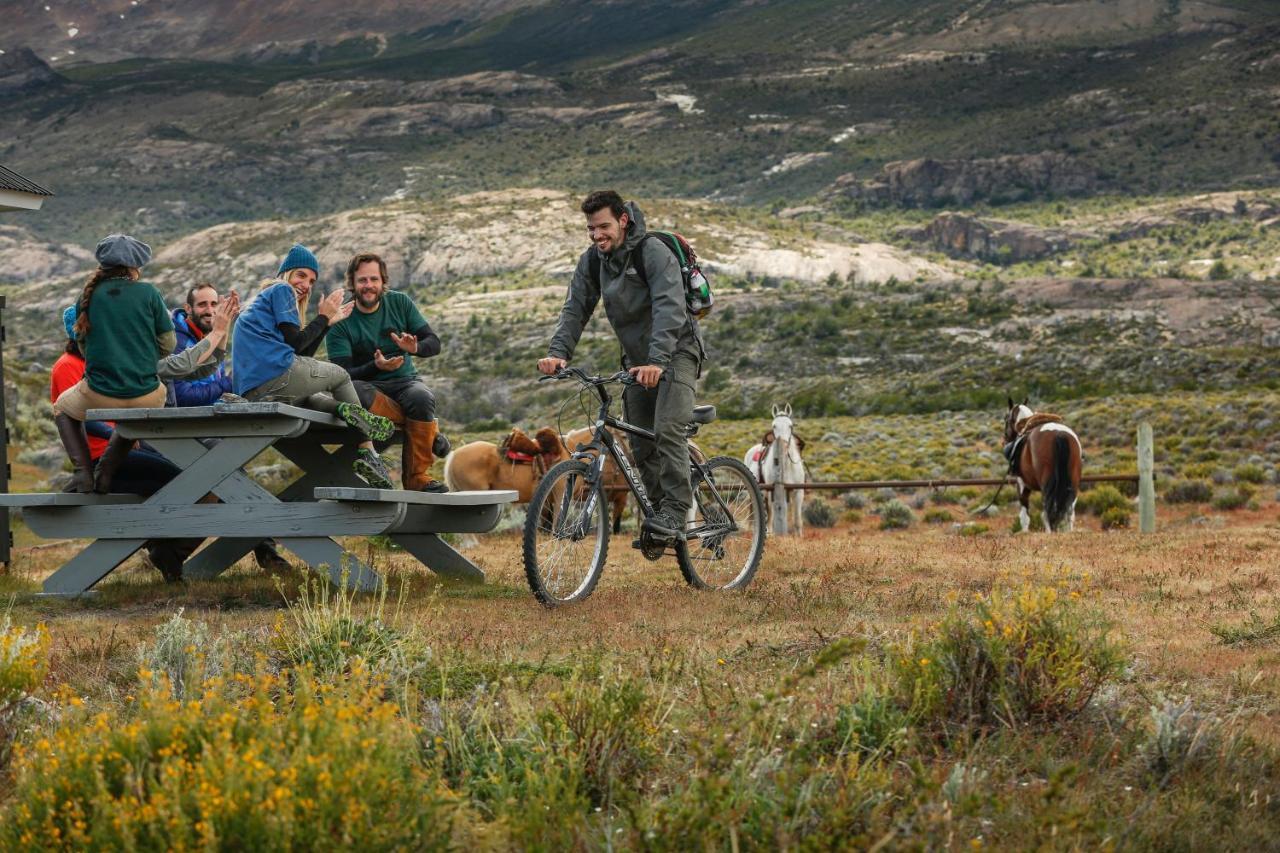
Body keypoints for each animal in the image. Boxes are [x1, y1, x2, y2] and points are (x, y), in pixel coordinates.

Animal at [747, 404, 803, 532]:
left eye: (790, 425)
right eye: (774, 426)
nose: (784, 446)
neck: (786, 466)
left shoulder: (798, 492)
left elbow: (797, 520)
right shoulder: (774, 491)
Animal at [998, 394, 1080, 527]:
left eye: (1006, 418)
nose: (1005, 440)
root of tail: (1059, 434)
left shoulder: (1022, 485)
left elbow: (1024, 518)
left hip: (1047, 486)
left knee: (1047, 514)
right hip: (1072, 483)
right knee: (1069, 514)